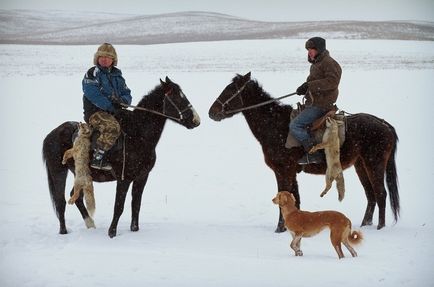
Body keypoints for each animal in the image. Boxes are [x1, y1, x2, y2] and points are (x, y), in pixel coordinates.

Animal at [44, 77, 200, 238]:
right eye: (177, 97)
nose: (196, 120)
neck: (137, 135)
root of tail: (51, 134)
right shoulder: (124, 179)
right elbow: (119, 206)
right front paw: (112, 233)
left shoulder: (142, 177)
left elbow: (136, 204)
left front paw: (134, 229)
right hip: (58, 172)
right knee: (60, 201)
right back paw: (63, 231)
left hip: (80, 174)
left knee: (76, 197)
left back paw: (90, 224)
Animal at [209, 73, 398, 233]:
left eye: (230, 90)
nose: (212, 112)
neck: (274, 124)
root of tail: (385, 125)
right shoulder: (291, 171)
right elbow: (295, 198)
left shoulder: (283, 170)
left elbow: (284, 197)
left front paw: (280, 228)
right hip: (361, 165)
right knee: (371, 195)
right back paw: (365, 225)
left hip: (374, 164)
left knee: (381, 193)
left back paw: (380, 227)